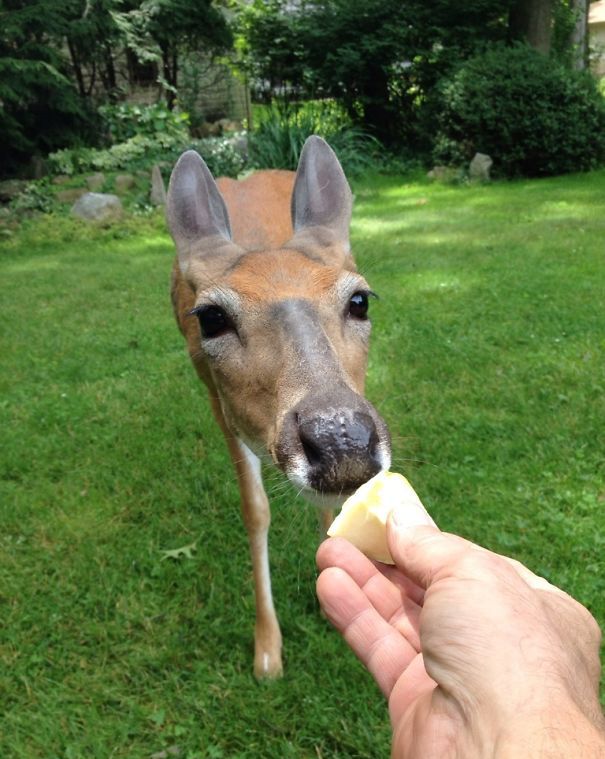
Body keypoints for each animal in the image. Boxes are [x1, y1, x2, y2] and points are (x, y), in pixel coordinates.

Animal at [166, 135, 392, 676]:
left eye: (360, 300)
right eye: (211, 317)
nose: (341, 441)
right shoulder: (222, 406)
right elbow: (255, 510)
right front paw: (267, 649)